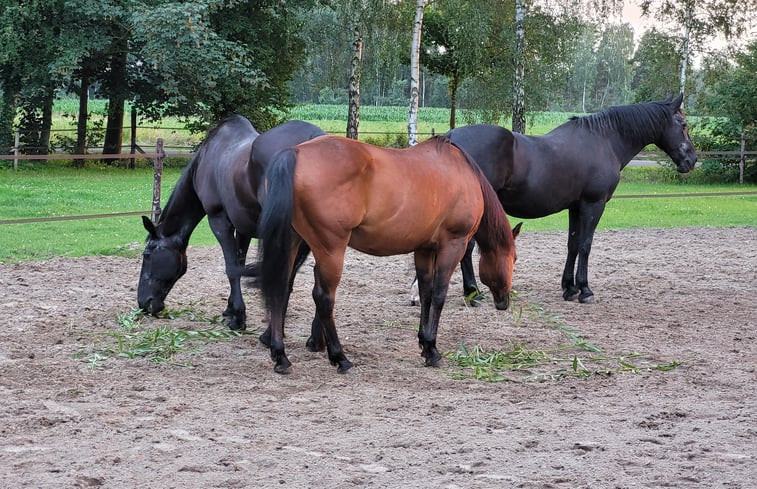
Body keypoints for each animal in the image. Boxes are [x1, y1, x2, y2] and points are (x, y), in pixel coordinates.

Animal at [137, 117, 324, 328]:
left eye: (147, 255)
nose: (143, 303)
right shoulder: (244, 227)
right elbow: (239, 261)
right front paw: (231, 309)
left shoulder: (219, 221)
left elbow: (231, 268)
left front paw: (238, 317)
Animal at [256, 134, 516, 374]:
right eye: (514, 259)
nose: (504, 302)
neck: (463, 174)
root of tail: (295, 153)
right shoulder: (453, 246)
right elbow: (439, 295)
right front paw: (433, 350)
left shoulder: (424, 249)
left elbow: (426, 293)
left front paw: (424, 344)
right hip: (330, 250)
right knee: (323, 298)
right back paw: (340, 358)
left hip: (292, 242)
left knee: (280, 288)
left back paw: (280, 356)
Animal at [448, 93, 696, 304]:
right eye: (683, 125)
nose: (692, 160)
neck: (605, 141)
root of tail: (451, 138)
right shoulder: (593, 204)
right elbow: (586, 245)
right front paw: (585, 290)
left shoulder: (576, 207)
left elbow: (573, 245)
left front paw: (569, 288)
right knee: (466, 248)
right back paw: (473, 293)